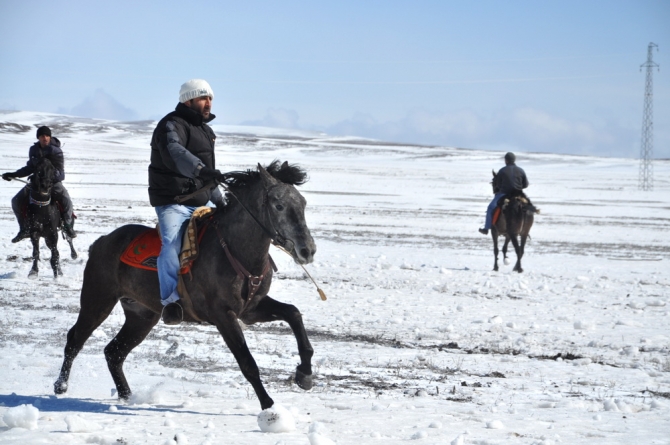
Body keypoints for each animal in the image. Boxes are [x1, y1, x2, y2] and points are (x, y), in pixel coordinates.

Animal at [55, 160, 318, 410]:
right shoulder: (223, 315)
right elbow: (247, 362)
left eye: (303, 203)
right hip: (97, 301)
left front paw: (304, 375)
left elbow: (293, 313)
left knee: (114, 353)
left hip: (141, 315)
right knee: (75, 339)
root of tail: (101, 242)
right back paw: (61, 385)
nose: (307, 250)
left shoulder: (252, 309)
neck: (234, 249)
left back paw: (127, 396)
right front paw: (269, 407)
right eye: (279, 206)